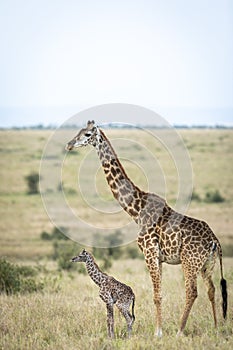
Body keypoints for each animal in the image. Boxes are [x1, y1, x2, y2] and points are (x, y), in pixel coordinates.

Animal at [65, 120, 228, 336]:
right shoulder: (159, 258)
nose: (69, 145)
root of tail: (214, 241)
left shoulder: (149, 252)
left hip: (189, 261)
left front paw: (158, 333)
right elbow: (160, 293)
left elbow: (156, 295)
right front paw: (159, 329)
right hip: (206, 264)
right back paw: (217, 328)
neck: (136, 210)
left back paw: (179, 330)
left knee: (192, 291)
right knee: (212, 289)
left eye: (87, 134)